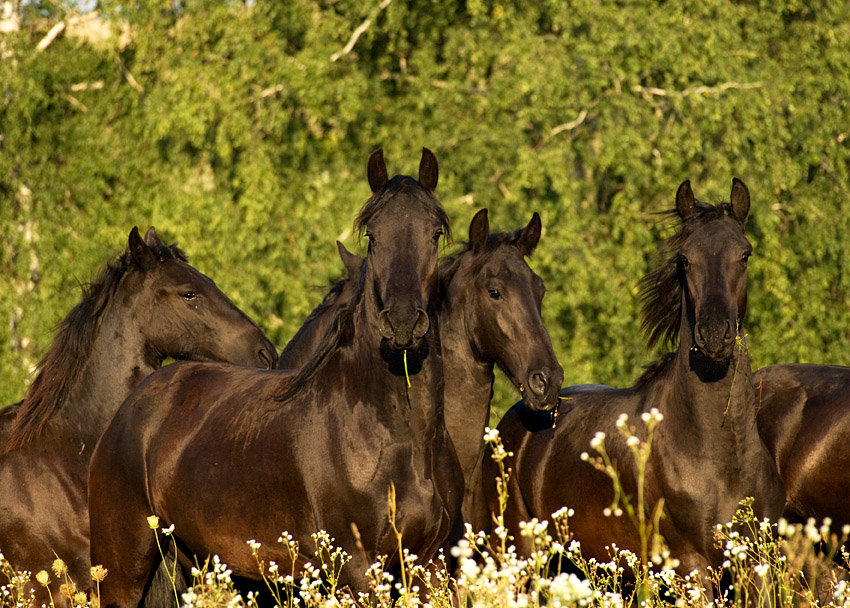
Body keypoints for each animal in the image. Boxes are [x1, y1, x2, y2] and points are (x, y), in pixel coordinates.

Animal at [87, 148, 464, 608]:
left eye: (434, 234)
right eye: (373, 236)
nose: (404, 323)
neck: (397, 436)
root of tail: (130, 408)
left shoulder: (430, 566)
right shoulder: (357, 570)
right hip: (121, 572)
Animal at [486, 178, 784, 588]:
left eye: (745, 255)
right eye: (684, 259)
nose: (713, 335)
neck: (719, 451)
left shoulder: (755, 566)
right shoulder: (690, 568)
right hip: (518, 560)